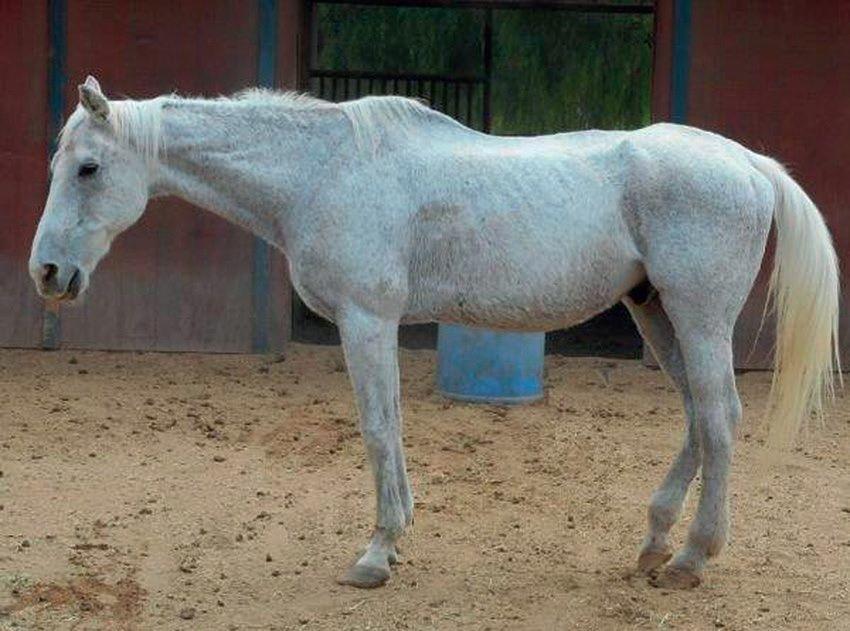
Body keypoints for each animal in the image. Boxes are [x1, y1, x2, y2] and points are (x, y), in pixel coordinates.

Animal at [29, 76, 840, 592]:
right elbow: (389, 425)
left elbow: (377, 428)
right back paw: (653, 545)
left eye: (89, 168)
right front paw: (394, 540)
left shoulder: (366, 320)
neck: (323, 172)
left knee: (721, 418)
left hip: (697, 315)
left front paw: (377, 553)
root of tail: (746, 162)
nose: (47, 272)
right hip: (657, 311)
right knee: (700, 418)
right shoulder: (375, 324)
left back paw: (692, 560)